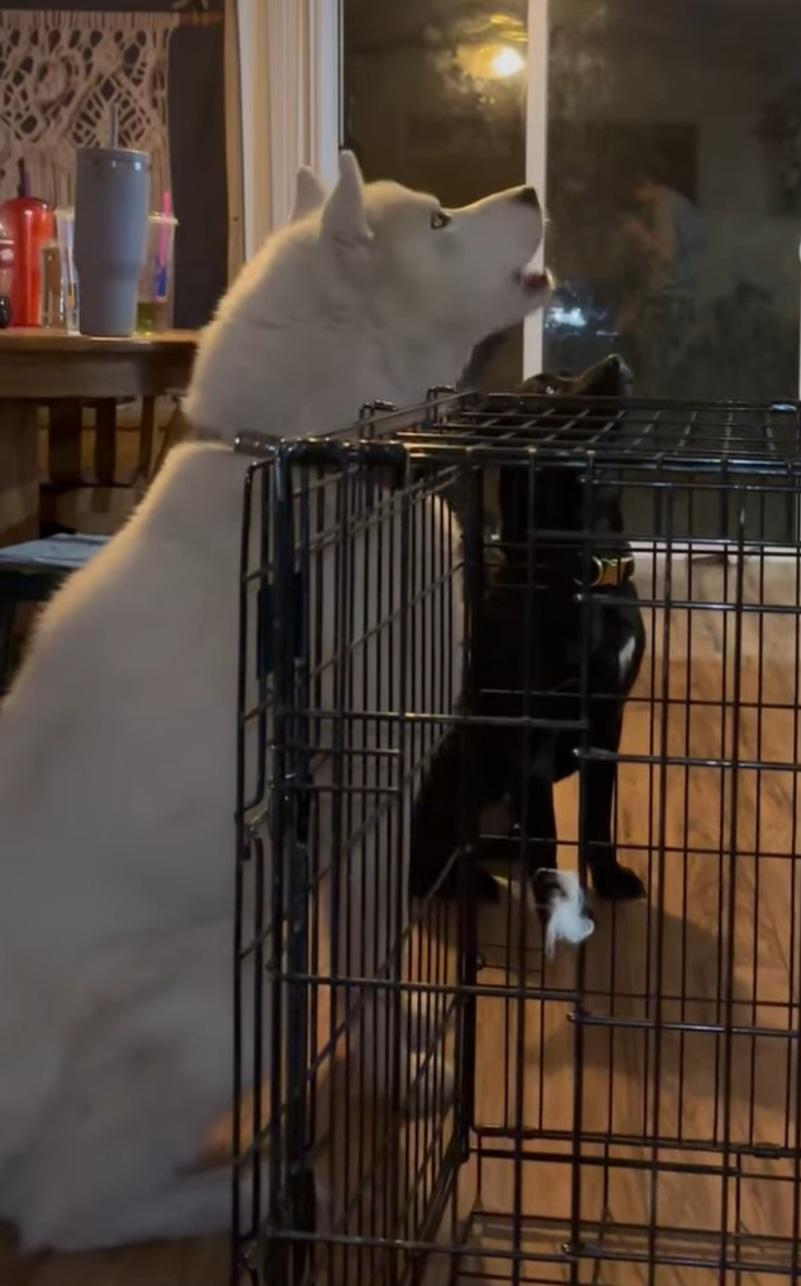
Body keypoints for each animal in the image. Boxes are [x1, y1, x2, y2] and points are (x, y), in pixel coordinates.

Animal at [0, 152, 548, 1251]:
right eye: (437, 221)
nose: (529, 191)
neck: (326, 463)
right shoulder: (370, 788)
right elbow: (371, 951)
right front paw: (398, 1073)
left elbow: (361, 951)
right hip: (231, 971)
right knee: (58, 1208)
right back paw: (258, 1190)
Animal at [409, 354, 647, 916]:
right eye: (545, 390)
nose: (616, 360)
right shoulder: (531, 740)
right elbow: (548, 836)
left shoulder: (608, 723)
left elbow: (597, 821)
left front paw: (610, 878)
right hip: (454, 772)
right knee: (433, 858)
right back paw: (471, 883)